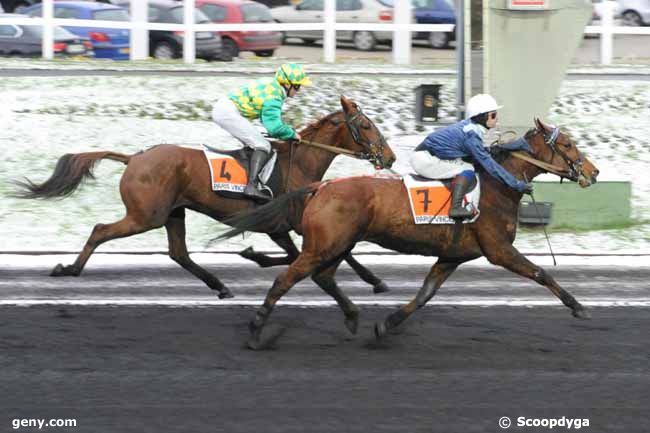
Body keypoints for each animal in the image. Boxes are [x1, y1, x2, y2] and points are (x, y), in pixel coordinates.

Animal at [13, 95, 394, 298]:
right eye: (366, 125)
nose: (389, 158)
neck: (299, 161)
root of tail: (135, 157)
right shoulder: (289, 223)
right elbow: (334, 253)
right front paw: (376, 281)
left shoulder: (281, 226)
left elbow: (300, 255)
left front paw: (253, 255)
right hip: (146, 215)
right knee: (100, 230)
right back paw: (70, 268)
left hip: (172, 213)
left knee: (179, 253)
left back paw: (219, 285)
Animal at [220, 117, 600, 348]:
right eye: (567, 144)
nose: (594, 172)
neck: (496, 187)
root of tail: (321, 186)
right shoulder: (499, 249)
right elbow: (540, 273)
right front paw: (578, 307)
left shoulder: (452, 256)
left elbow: (424, 295)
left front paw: (386, 325)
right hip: (325, 245)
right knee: (287, 278)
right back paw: (256, 330)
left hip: (337, 244)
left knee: (323, 277)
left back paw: (353, 316)